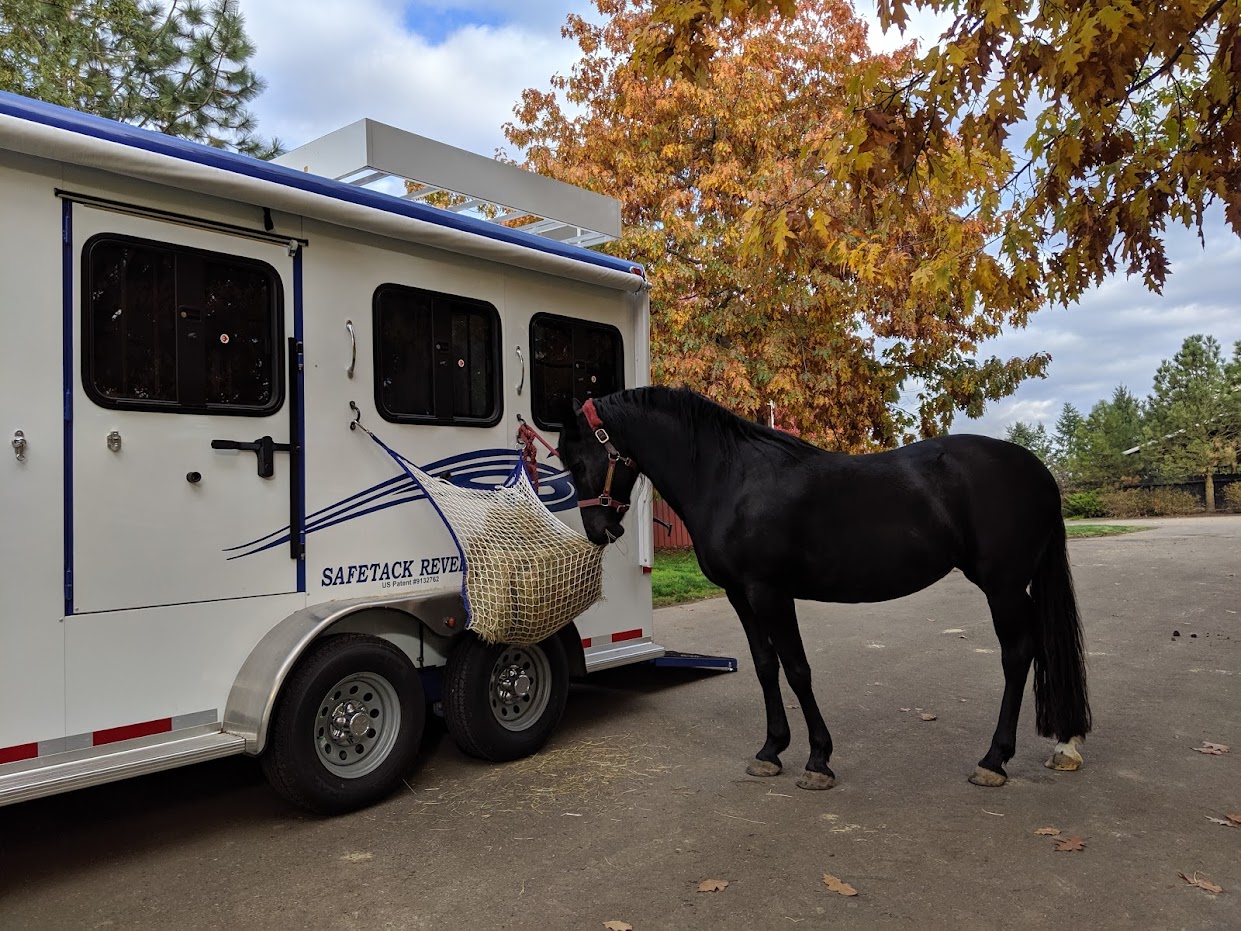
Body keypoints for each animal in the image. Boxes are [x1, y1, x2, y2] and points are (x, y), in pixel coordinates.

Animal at [558, 389, 1092, 789]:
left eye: (579, 459)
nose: (599, 530)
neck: (730, 478)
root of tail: (1039, 471)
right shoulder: (740, 595)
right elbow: (765, 666)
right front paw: (771, 750)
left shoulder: (770, 592)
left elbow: (797, 669)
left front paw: (818, 760)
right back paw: (1063, 743)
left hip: (1002, 586)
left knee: (1018, 653)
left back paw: (994, 759)